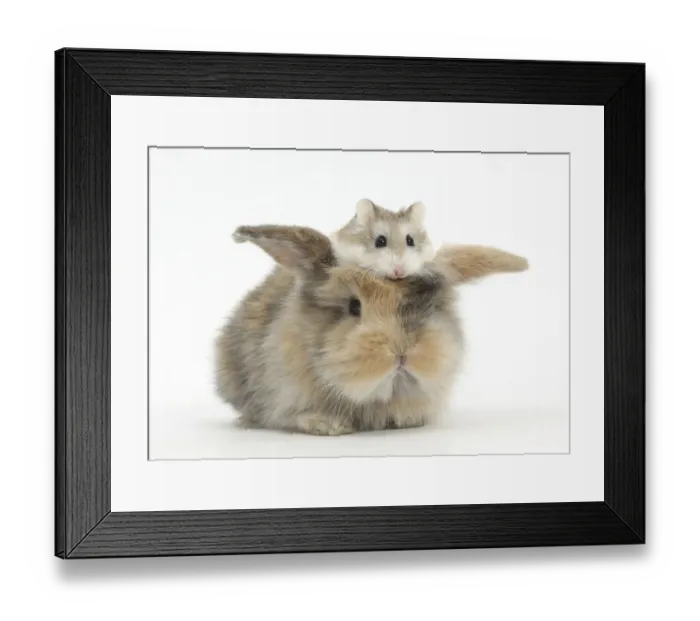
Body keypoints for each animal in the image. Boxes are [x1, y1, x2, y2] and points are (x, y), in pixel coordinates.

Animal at [214, 224, 528, 436]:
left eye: (429, 304)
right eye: (354, 306)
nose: (401, 352)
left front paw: (408, 420)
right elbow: (289, 415)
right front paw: (328, 425)